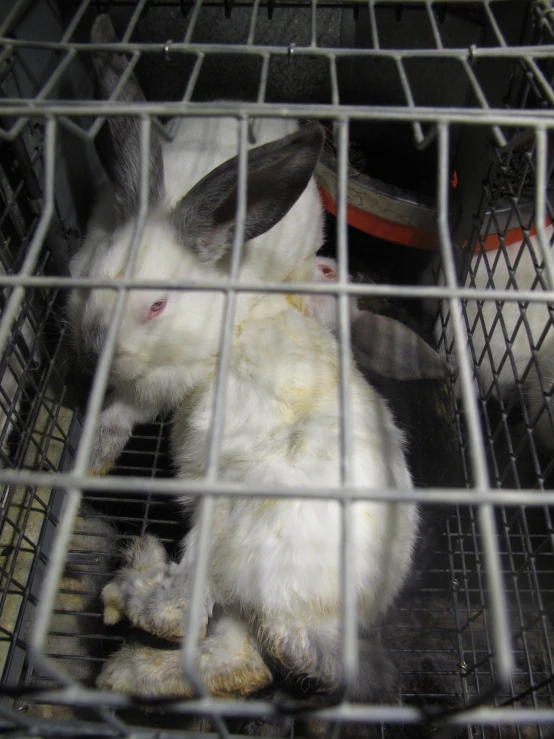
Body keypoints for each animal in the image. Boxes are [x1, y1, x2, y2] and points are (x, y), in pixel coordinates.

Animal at [67, 15, 416, 700]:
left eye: (155, 305)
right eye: (92, 278)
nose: (92, 349)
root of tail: (319, 619)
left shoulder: (163, 384)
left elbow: (123, 410)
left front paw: (92, 455)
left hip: (226, 524)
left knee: (183, 611)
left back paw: (135, 579)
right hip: (239, 591)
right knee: (238, 661)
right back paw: (133, 669)